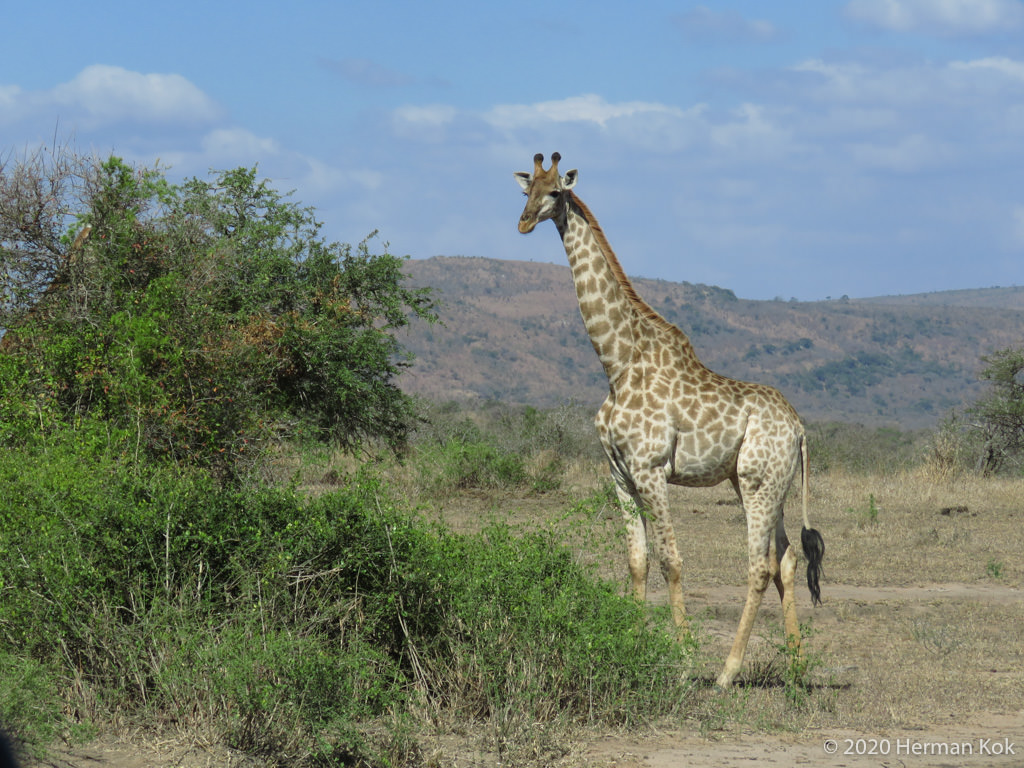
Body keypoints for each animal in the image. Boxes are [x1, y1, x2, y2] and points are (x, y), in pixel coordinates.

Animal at [514, 153, 824, 688]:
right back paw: (797, 667)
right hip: (765, 483)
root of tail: (800, 429)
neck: (617, 363)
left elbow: (671, 562)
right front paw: (628, 647)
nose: (525, 221)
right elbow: (637, 561)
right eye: (525, 189)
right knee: (785, 560)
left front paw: (679, 660)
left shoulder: (651, 469)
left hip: (759, 485)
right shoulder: (619, 473)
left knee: (758, 567)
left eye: (555, 192)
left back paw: (726, 672)